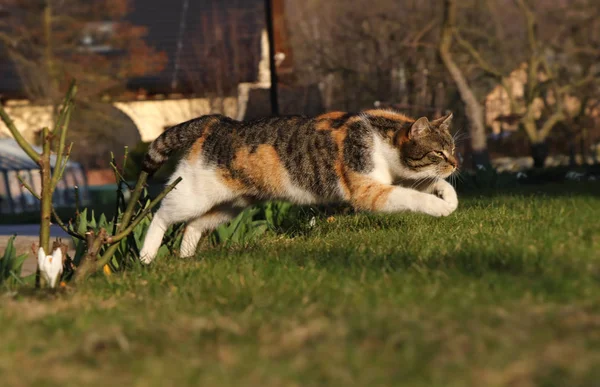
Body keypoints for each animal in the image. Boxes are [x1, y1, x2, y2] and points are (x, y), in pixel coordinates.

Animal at [141, 109, 460, 264]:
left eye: (453, 149)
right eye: (438, 152)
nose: (457, 163)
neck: (379, 138)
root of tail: (218, 122)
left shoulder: (395, 179)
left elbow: (430, 184)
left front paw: (449, 198)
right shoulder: (368, 190)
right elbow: (410, 196)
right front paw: (439, 208)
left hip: (230, 205)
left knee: (193, 226)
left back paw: (186, 261)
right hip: (192, 194)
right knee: (160, 214)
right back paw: (146, 257)